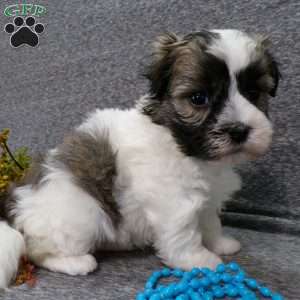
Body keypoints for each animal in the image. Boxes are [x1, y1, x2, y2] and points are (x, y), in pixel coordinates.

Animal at [0, 28, 278, 288]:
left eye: (253, 93)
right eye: (199, 98)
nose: (239, 130)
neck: (186, 147)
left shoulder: (207, 199)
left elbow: (210, 221)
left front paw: (220, 243)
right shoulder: (175, 202)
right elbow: (184, 233)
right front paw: (199, 260)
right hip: (81, 214)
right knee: (37, 250)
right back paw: (76, 262)